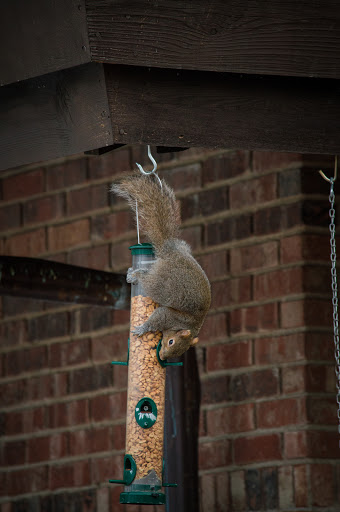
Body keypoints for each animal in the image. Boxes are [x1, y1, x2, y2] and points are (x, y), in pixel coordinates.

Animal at [111, 174, 211, 358]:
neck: (184, 326)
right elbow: (158, 317)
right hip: (163, 286)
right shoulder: (169, 316)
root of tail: (170, 251)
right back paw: (135, 275)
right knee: (147, 281)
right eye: (171, 342)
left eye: (181, 351)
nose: (163, 356)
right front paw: (143, 328)